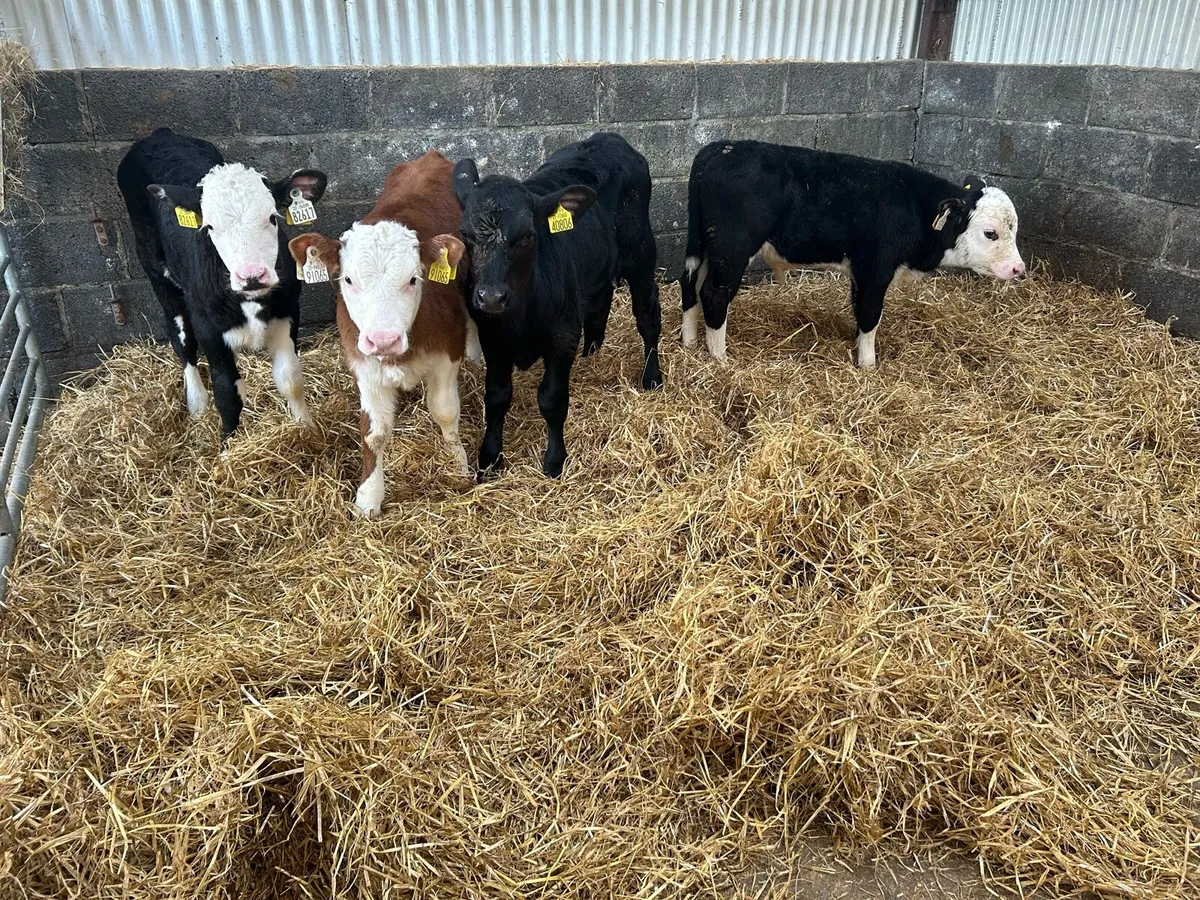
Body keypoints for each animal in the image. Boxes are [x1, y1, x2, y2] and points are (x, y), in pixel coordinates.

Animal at [117, 127, 328, 441]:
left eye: (272, 217)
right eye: (210, 227)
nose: (252, 275)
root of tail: (160, 134)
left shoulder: (288, 312)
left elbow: (290, 379)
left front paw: (307, 428)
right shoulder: (209, 329)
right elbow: (227, 393)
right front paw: (227, 446)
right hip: (158, 276)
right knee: (181, 341)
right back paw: (196, 403)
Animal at [288, 151, 478, 519]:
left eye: (414, 279)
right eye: (348, 279)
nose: (384, 340)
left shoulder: (446, 356)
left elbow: (445, 411)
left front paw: (459, 468)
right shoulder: (364, 364)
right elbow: (374, 433)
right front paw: (368, 498)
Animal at [452, 132, 662, 479]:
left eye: (526, 236)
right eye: (465, 234)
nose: (491, 297)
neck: (521, 316)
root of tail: (611, 138)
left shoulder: (563, 336)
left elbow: (551, 399)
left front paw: (554, 461)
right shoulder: (492, 338)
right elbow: (496, 397)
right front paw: (490, 459)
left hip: (641, 251)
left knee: (648, 317)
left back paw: (652, 376)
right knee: (598, 310)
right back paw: (592, 356)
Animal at [680, 140, 1025, 367]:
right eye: (990, 233)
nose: (1018, 268)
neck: (914, 206)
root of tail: (719, 148)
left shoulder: (860, 271)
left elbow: (859, 311)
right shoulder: (875, 270)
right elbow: (871, 315)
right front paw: (868, 364)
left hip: (704, 245)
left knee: (690, 284)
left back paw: (689, 341)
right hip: (732, 248)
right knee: (714, 292)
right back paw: (720, 357)